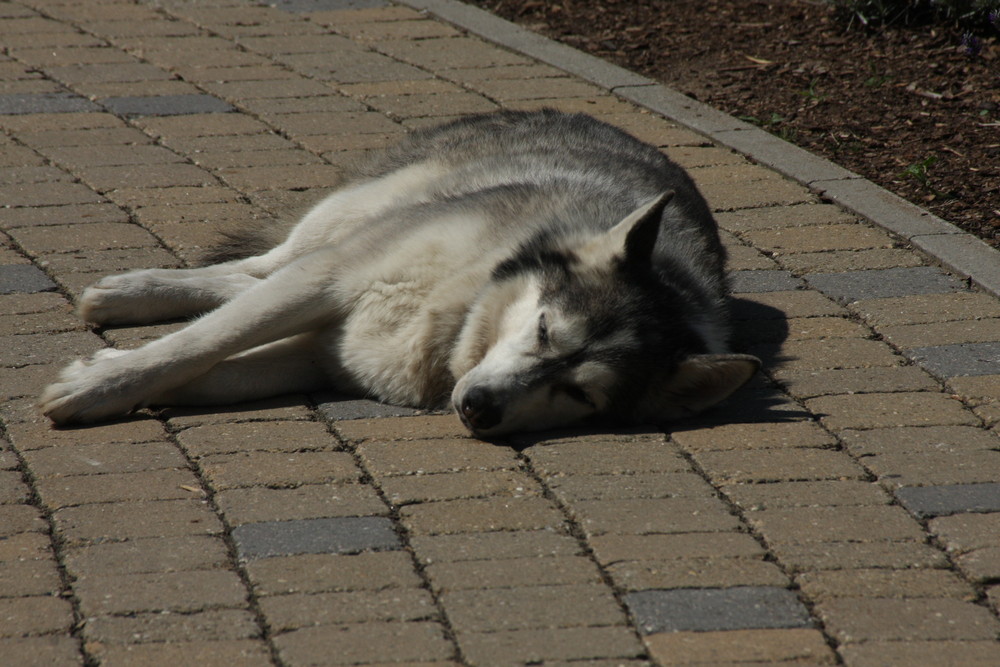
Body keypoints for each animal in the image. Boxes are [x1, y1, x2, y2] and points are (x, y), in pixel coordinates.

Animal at [39, 110, 756, 438]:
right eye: (545, 331)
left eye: (580, 396)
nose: (479, 408)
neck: (454, 314)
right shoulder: (329, 278)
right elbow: (197, 342)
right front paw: (102, 383)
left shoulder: (323, 357)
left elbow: (214, 370)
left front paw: (124, 384)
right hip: (350, 217)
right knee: (260, 265)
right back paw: (130, 293)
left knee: (248, 279)